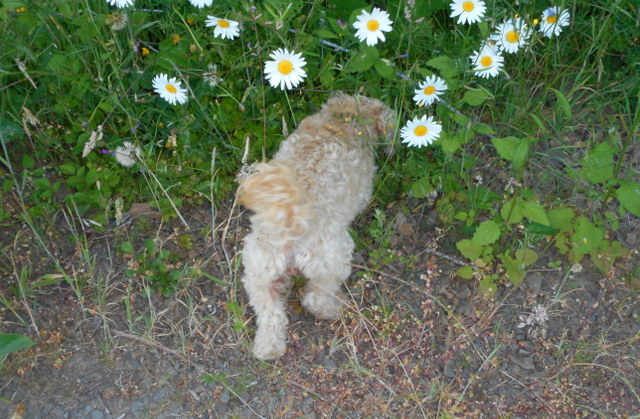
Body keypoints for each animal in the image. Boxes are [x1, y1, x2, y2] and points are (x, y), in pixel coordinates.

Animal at [238, 95, 392, 360]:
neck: (341, 122)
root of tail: (289, 223)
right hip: (332, 259)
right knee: (316, 297)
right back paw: (333, 308)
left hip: (259, 271)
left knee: (271, 314)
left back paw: (268, 347)